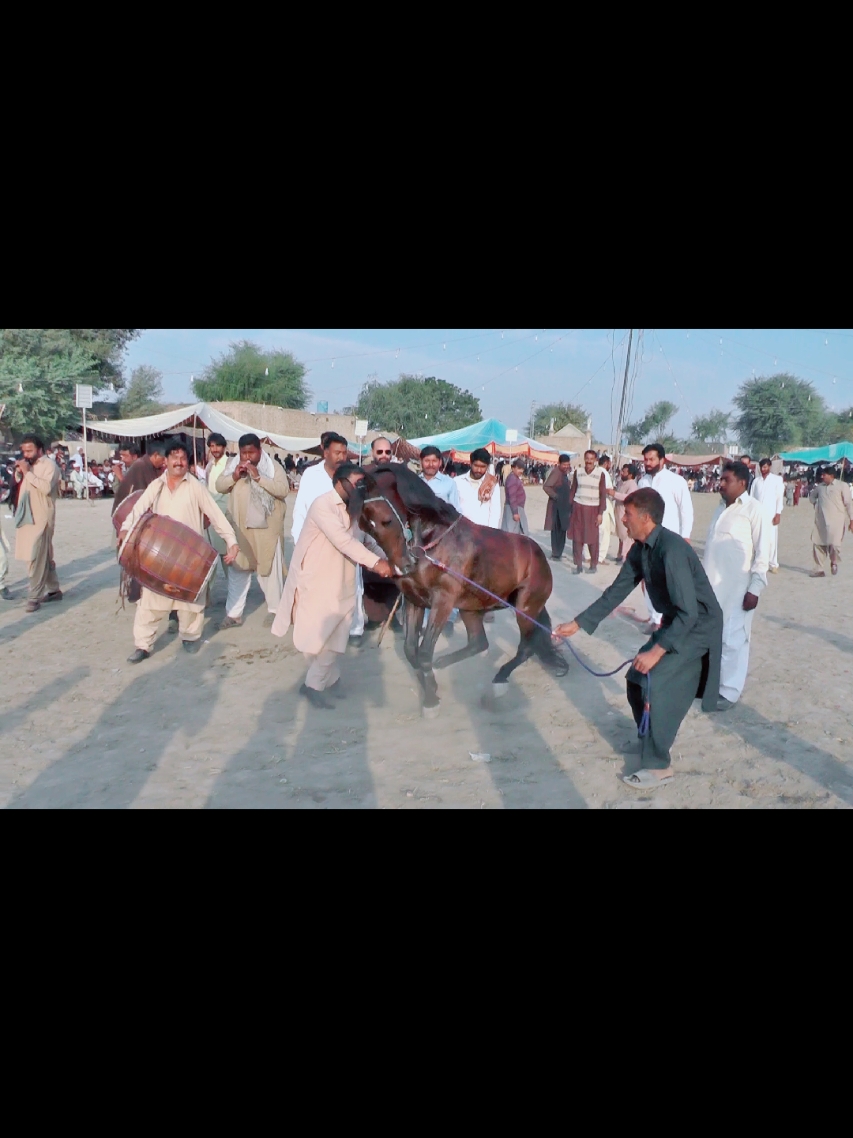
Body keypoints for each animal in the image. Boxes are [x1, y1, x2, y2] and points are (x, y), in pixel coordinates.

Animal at [361, 459, 568, 710]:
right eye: (366, 526)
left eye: (387, 520)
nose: (404, 566)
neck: (433, 543)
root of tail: (539, 556)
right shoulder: (413, 600)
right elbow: (411, 651)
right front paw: (430, 688)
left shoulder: (443, 601)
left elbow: (424, 652)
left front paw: (431, 698)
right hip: (472, 607)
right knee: (479, 642)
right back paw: (445, 663)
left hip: (525, 609)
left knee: (526, 647)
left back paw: (497, 683)